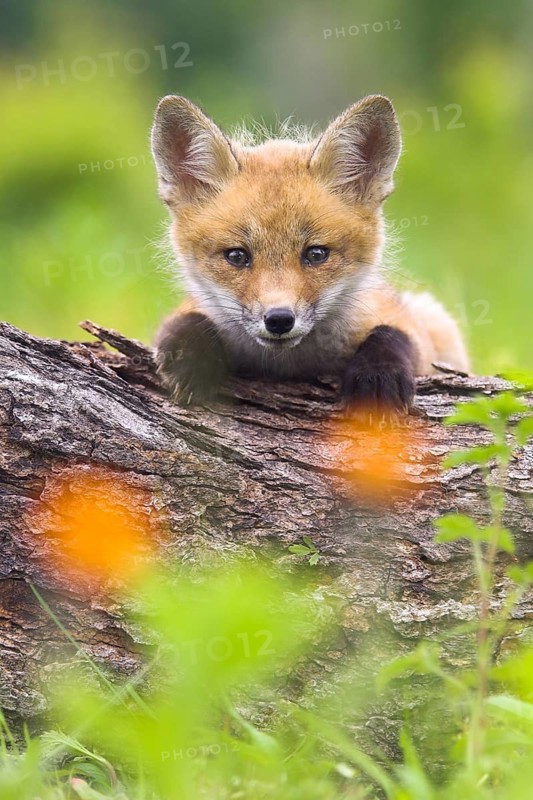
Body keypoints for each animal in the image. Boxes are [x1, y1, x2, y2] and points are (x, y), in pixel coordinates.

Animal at [150, 94, 469, 416]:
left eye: (316, 254)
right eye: (237, 256)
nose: (279, 319)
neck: (289, 364)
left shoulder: (410, 330)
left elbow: (393, 335)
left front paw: (378, 376)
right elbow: (181, 322)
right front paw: (190, 359)